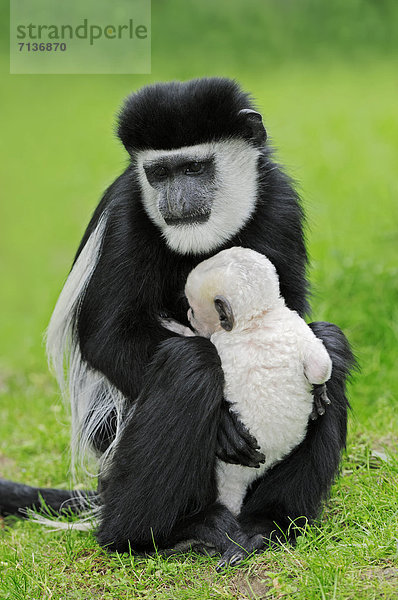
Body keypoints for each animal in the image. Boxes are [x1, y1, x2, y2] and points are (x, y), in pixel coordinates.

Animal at [175, 246, 332, 516]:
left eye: (194, 310)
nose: (187, 314)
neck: (259, 317)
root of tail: (241, 478)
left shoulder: (221, 341)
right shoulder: (293, 323)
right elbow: (320, 365)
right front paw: (319, 388)